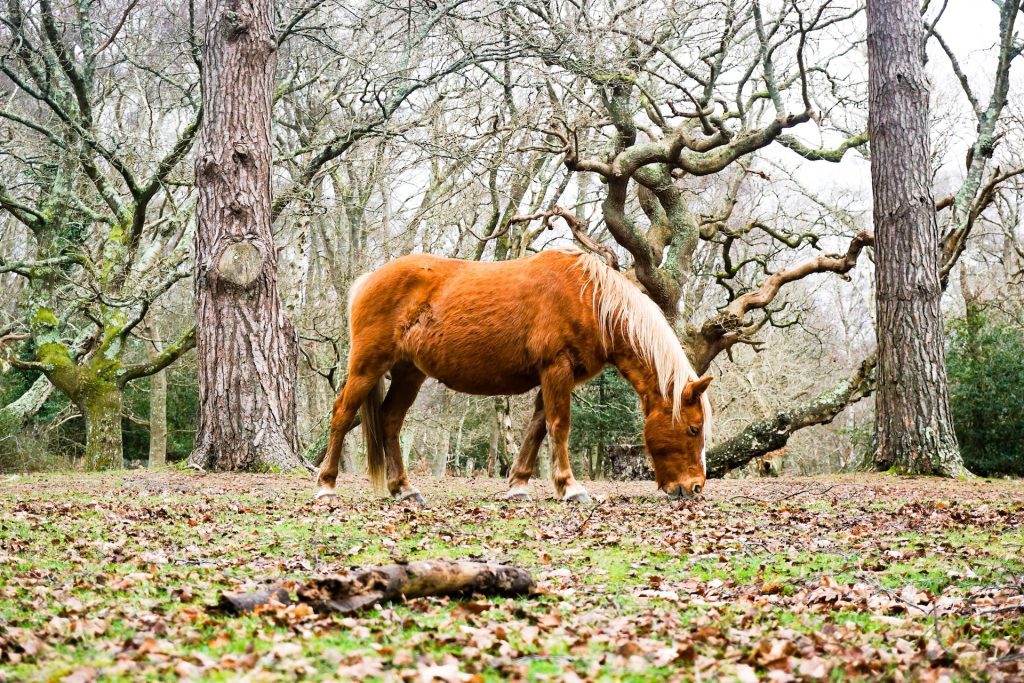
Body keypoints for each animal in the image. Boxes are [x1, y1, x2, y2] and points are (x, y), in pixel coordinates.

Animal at [316, 247, 713, 504]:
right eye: (694, 429)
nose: (695, 488)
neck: (590, 299)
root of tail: (369, 279)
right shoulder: (556, 370)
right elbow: (558, 426)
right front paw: (571, 488)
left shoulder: (554, 377)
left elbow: (537, 428)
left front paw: (519, 485)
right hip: (367, 366)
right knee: (342, 414)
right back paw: (326, 485)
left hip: (408, 373)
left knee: (390, 421)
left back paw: (404, 489)